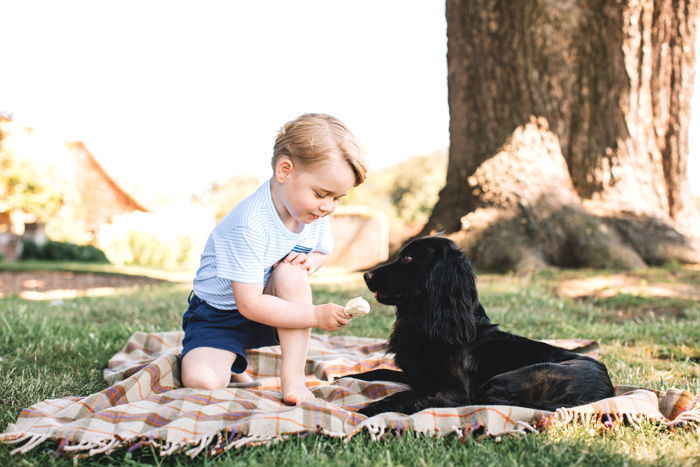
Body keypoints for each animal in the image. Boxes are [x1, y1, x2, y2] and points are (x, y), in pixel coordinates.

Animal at [350, 238, 612, 416]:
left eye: (408, 259)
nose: (366, 275)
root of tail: (606, 391)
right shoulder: (415, 375)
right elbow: (375, 372)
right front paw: (345, 378)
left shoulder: (454, 389)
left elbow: (405, 394)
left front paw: (368, 409)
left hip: (511, 377)